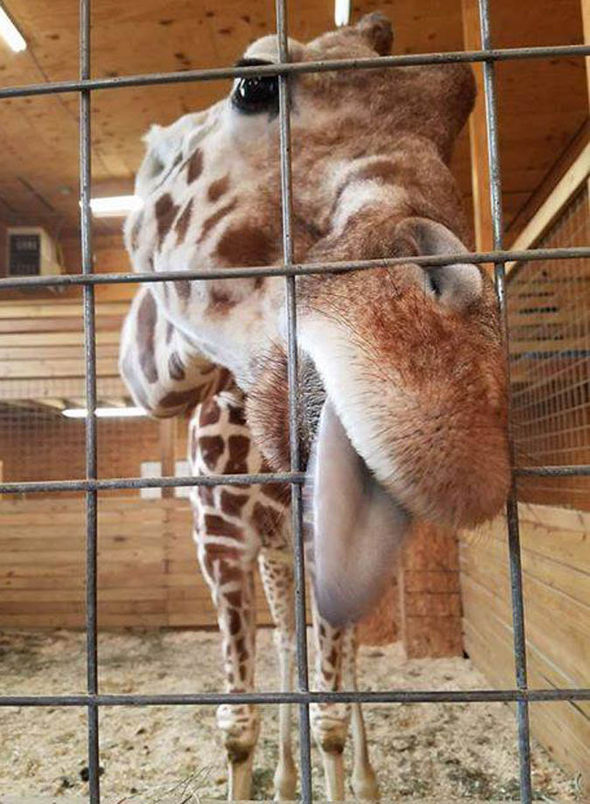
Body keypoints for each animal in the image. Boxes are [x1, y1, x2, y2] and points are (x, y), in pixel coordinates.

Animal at [120, 10, 511, 800]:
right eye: (254, 84)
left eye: (460, 97)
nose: (461, 415)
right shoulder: (220, 542)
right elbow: (239, 720)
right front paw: (268, 774)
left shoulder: (311, 538)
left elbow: (328, 704)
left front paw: (340, 774)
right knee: (291, 649)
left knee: (345, 660)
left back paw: (363, 777)